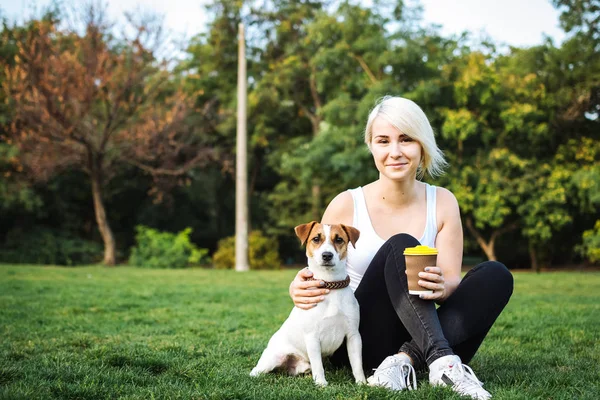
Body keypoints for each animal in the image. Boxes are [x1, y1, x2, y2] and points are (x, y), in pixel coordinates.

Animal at [250, 220, 366, 386]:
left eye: (339, 239)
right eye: (316, 239)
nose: (327, 255)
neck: (330, 285)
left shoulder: (353, 336)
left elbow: (357, 364)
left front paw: (362, 383)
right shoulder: (312, 337)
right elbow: (318, 365)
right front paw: (322, 384)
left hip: (303, 366)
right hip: (273, 359)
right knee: (256, 370)